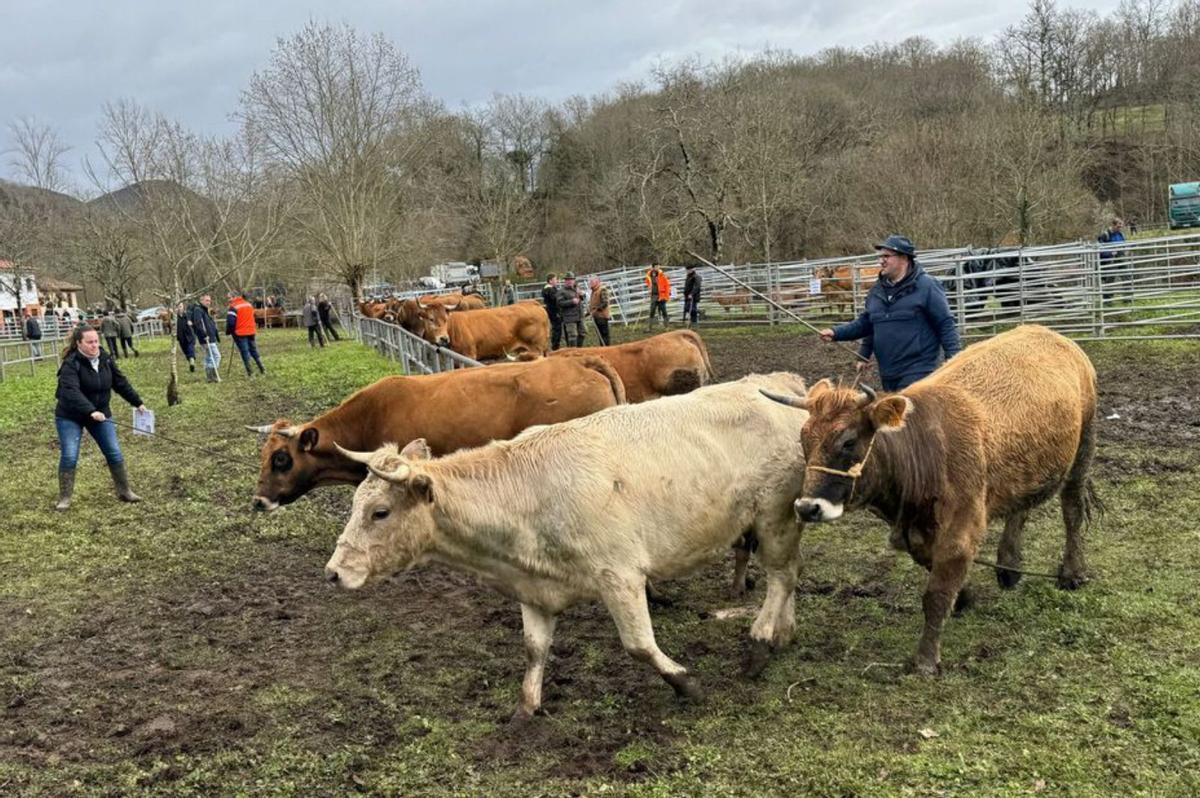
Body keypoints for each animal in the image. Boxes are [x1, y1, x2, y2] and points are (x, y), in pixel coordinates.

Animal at [324, 372, 811, 715]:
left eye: (379, 512)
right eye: (355, 502)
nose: (334, 572)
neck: (527, 493)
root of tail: (780, 383)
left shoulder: (620, 575)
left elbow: (639, 644)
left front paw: (686, 682)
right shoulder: (533, 589)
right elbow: (534, 649)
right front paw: (525, 712)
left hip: (775, 514)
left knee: (780, 576)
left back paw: (761, 641)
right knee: (789, 574)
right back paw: (784, 633)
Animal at [763, 324, 1099, 672]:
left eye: (849, 441)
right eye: (803, 439)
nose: (807, 508)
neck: (926, 450)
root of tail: (1053, 335)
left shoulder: (963, 524)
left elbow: (937, 592)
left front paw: (925, 658)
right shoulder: (919, 533)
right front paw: (964, 596)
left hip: (1083, 449)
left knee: (1072, 510)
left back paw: (1072, 573)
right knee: (1019, 509)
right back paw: (1009, 567)